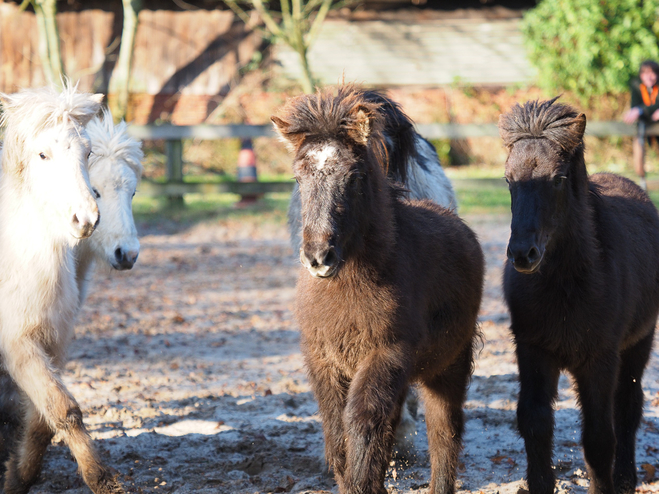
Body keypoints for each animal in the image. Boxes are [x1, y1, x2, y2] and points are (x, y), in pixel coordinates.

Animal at [0, 86, 124, 494]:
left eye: (87, 152)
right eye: (43, 154)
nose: (84, 219)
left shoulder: (53, 343)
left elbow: (44, 419)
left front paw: (17, 476)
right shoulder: (18, 345)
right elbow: (62, 408)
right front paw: (101, 477)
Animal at [274, 86, 484, 494]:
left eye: (354, 177)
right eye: (298, 178)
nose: (319, 256)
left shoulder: (385, 355)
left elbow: (363, 420)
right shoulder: (322, 358)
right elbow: (337, 427)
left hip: (447, 363)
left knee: (444, 430)